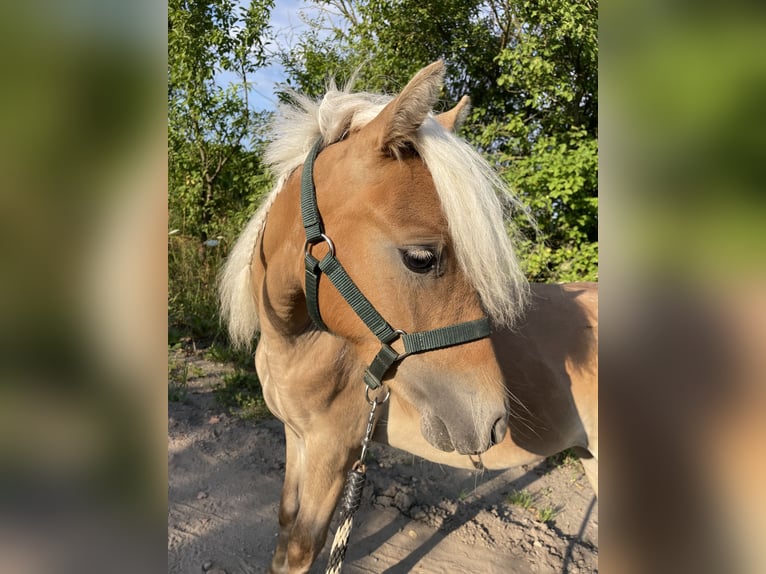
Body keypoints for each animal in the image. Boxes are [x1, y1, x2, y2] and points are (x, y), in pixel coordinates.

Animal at [222, 60, 600, 572]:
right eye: (421, 258)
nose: (492, 421)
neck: (298, 344)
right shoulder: (295, 438)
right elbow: (285, 529)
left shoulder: (330, 451)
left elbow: (302, 549)